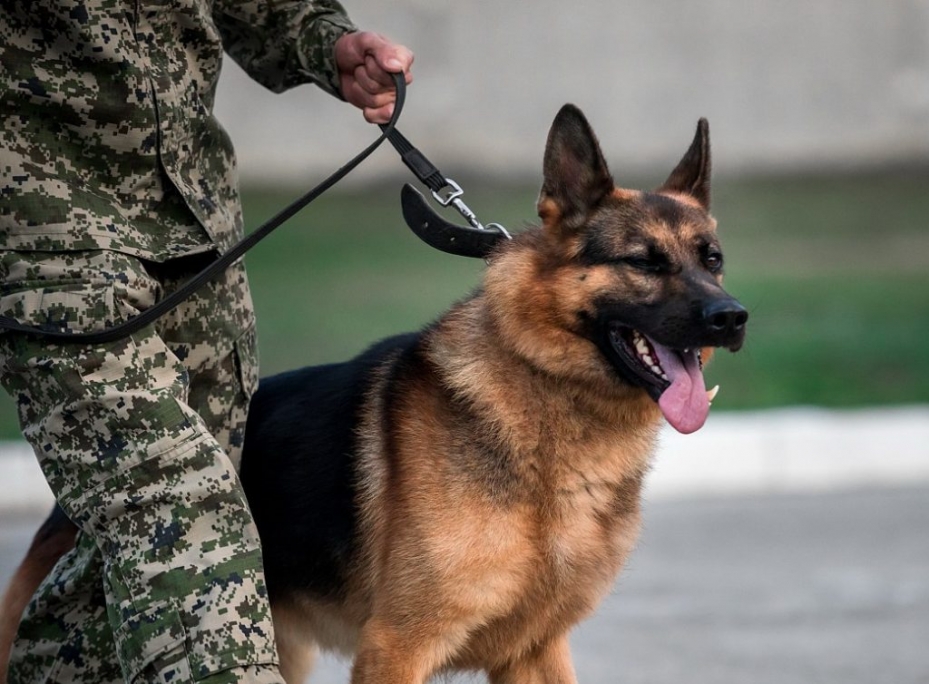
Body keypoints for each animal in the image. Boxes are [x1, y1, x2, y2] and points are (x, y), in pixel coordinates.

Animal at [0, 104, 744, 680]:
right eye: (642, 263)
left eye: (711, 259)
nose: (732, 318)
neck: (542, 407)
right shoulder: (396, 648)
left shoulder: (534, 654)